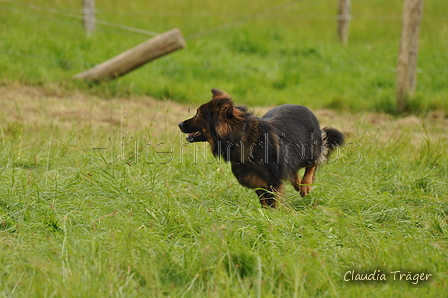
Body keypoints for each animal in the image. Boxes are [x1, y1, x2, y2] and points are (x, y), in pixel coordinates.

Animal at [178, 89, 344, 208]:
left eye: (198, 114)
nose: (179, 124)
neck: (241, 137)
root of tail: (305, 108)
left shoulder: (272, 181)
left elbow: (273, 203)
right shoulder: (259, 181)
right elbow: (264, 203)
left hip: (309, 150)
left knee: (313, 163)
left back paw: (305, 186)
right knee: (293, 169)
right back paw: (298, 183)